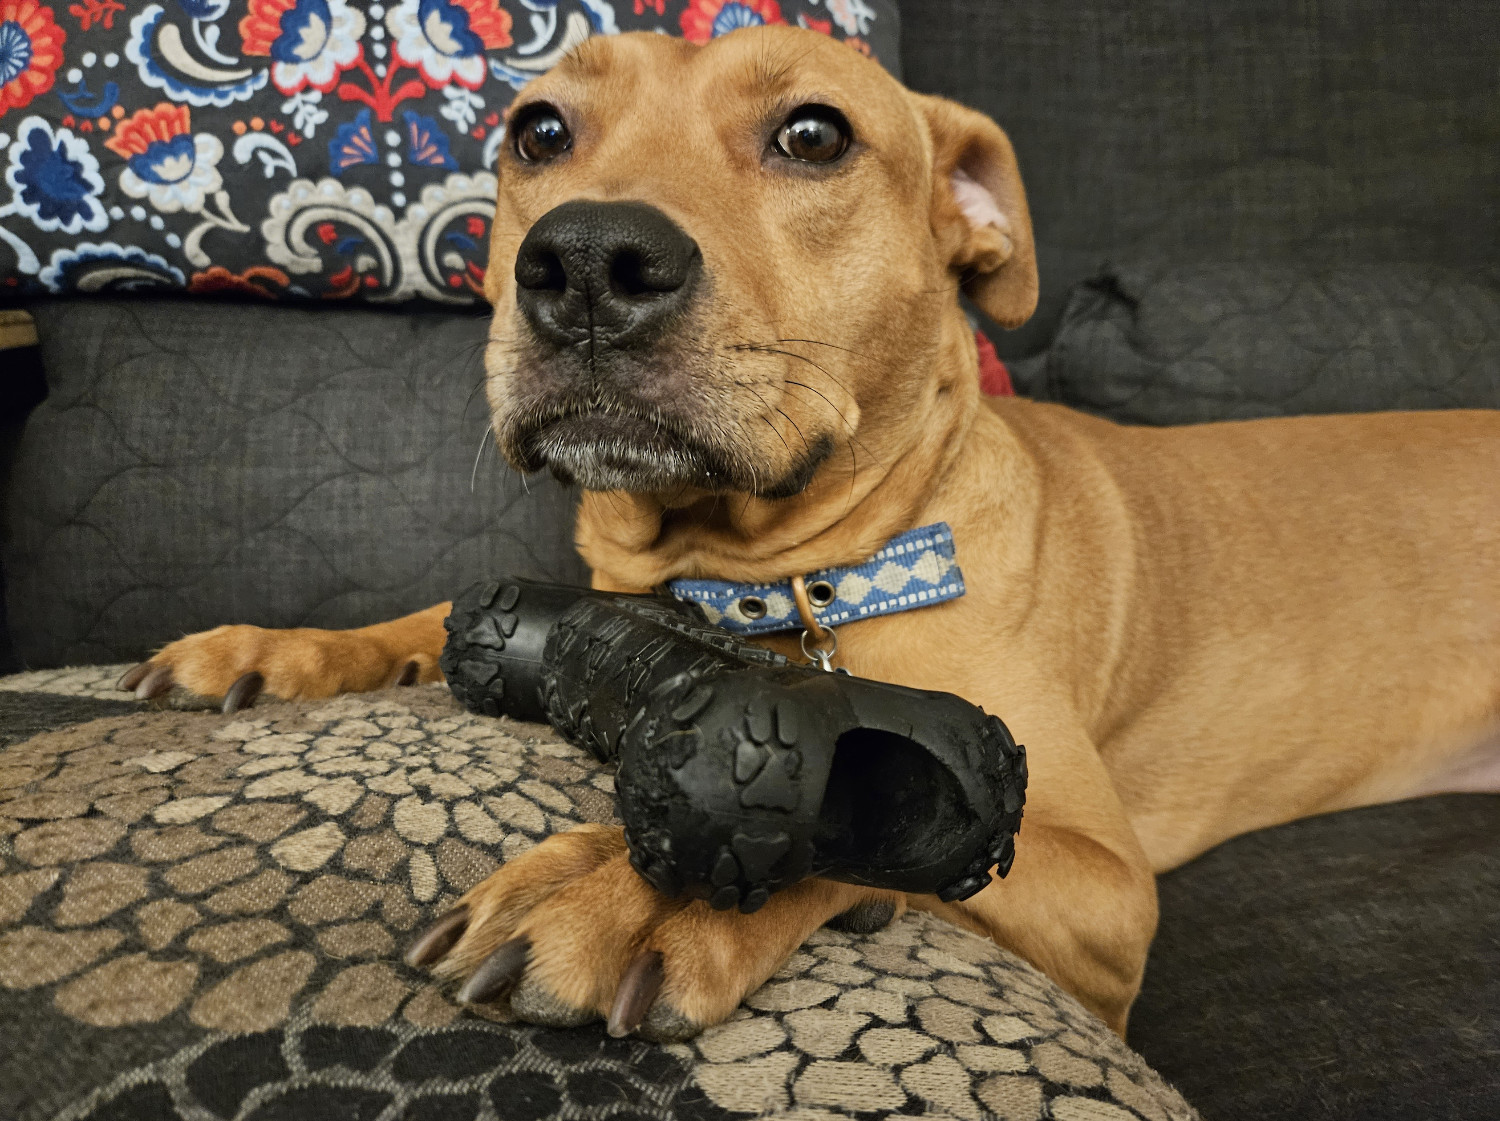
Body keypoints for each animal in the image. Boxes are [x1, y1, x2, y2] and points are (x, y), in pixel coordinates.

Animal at [120, 28, 1500, 1044]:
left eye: (813, 134)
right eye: (540, 131)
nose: (585, 259)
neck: (762, 579)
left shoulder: (1107, 881)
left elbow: (887, 828)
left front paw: (629, 884)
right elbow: (427, 616)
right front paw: (279, 646)